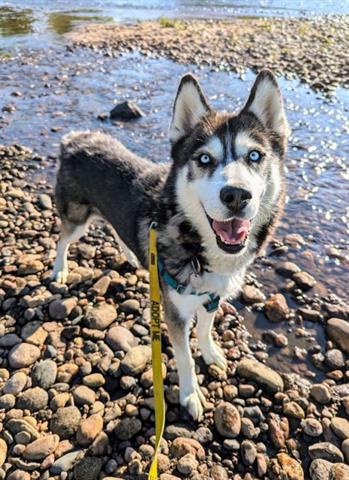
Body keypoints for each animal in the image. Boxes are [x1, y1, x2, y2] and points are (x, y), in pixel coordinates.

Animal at [51, 68, 286, 420]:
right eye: (204, 158)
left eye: (254, 155)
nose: (236, 195)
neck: (198, 248)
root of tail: (75, 139)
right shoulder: (174, 313)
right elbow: (185, 357)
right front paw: (190, 395)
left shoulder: (211, 298)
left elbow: (205, 330)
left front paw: (211, 353)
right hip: (77, 219)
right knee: (62, 239)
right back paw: (60, 269)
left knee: (116, 230)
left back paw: (132, 256)